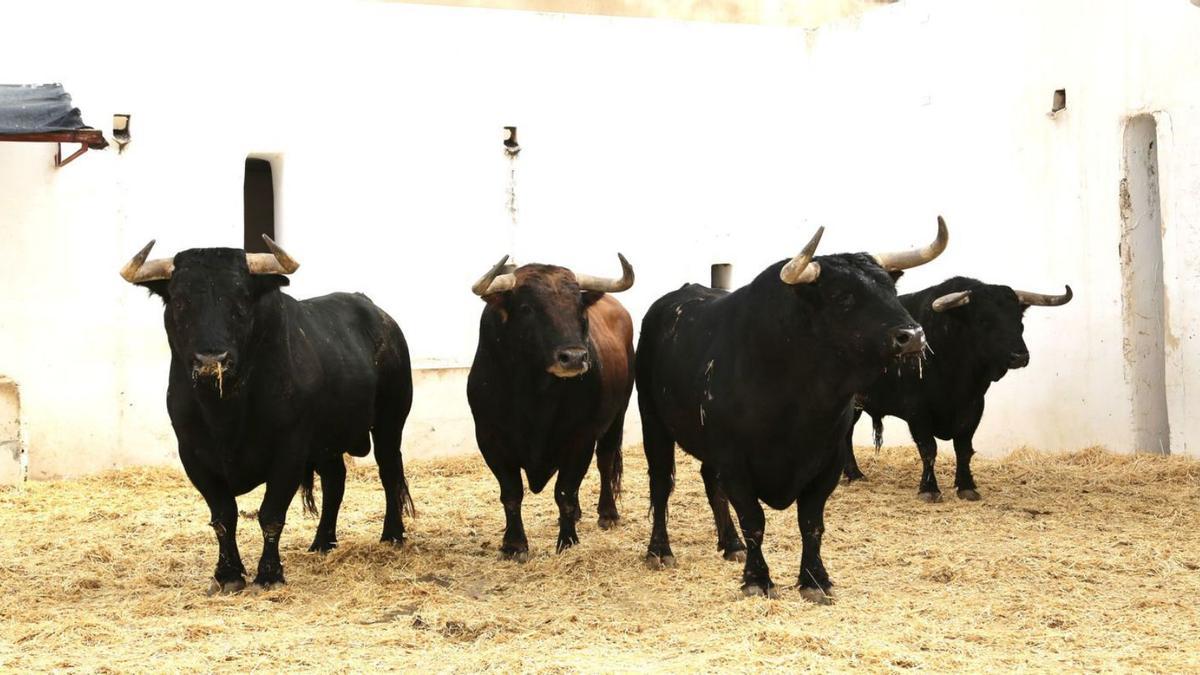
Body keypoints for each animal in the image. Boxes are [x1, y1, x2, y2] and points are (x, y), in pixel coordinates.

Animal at [120, 240, 412, 588]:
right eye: (180, 301)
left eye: (242, 298)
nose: (211, 361)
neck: (225, 414)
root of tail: (381, 317)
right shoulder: (193, 455)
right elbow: (223, 516)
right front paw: (228, 574)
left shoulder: (289, 450)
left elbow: (271, 514)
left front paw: (269, 574)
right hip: (327, 441)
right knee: (335, 481)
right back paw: (322, 541)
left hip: (389, 422)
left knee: (389, 471)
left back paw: (392, 535)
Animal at [465, 253, 638, 557]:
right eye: (527, 308)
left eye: (579, 308)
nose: (575, 357)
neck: (534, 397)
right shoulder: (490, 439)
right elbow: (511, 493)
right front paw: (514, 544)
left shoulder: (580, 438)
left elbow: (565, 492)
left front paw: (567, 541)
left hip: (618, 415)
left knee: (605, 462)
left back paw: (607, 513)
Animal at [638, 218, 945, 595]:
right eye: (842, 296)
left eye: (890, 288)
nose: (913, 336)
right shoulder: (735, 461)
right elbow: (754, 520)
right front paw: (758, 579)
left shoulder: (828, 461)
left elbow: (811, 522)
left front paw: (815, 579)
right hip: (653, 422)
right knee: (661, 484)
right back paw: (659, 551)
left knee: (710, 482)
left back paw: (731, 544)